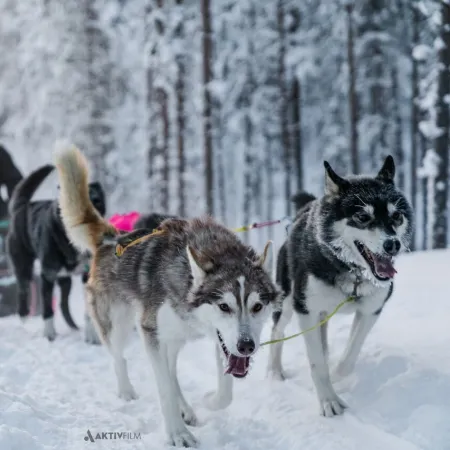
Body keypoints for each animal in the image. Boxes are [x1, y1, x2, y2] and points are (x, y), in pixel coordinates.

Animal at [6, 163, 106, 340]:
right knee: (23, 293)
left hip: (65, 281)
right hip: (24, 269)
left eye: (97, 201)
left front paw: (91, 336)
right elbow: (47, 309)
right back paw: (24, 319)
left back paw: (74, 327)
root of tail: (22, 207)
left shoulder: (86, 275)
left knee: (63, 303)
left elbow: (88, 311)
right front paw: (49, 335)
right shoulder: (47, 276)